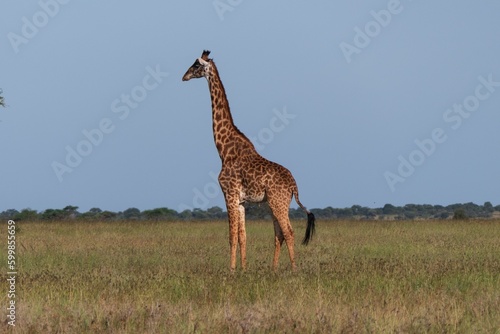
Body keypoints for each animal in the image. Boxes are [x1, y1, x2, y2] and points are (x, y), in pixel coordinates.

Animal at [182, 50, 314, 272]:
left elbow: (231, 236)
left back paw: (294, 269)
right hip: (273, 204)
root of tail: (294, 186)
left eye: (196, 65)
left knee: (289, 232)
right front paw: (243, 269)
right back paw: (273, 268)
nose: (184, 76)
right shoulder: (241, 201)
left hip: (278, 202)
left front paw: (231, 270)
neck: (224, 150)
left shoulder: (229, 194)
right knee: (279, 234)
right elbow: (243, 237)